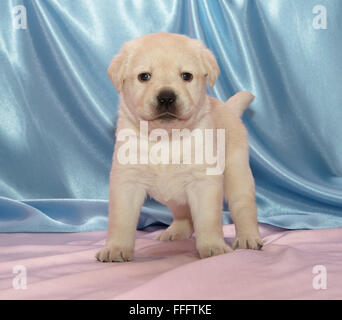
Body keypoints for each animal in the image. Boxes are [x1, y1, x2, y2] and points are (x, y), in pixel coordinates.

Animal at [95, 32, 262, 262]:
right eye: (144, 76)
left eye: (186, 76)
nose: (166, 97)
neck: (165, 137)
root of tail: (228, 108)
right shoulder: (127, 180)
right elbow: (120, 220)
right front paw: (116, 248)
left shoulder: (204, 181)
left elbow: (208, 219)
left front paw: (213, 246)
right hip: (174, 195)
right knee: (184, 213)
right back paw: (176, 231)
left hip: (237, 174)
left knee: (243, 206)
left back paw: (248, 238)